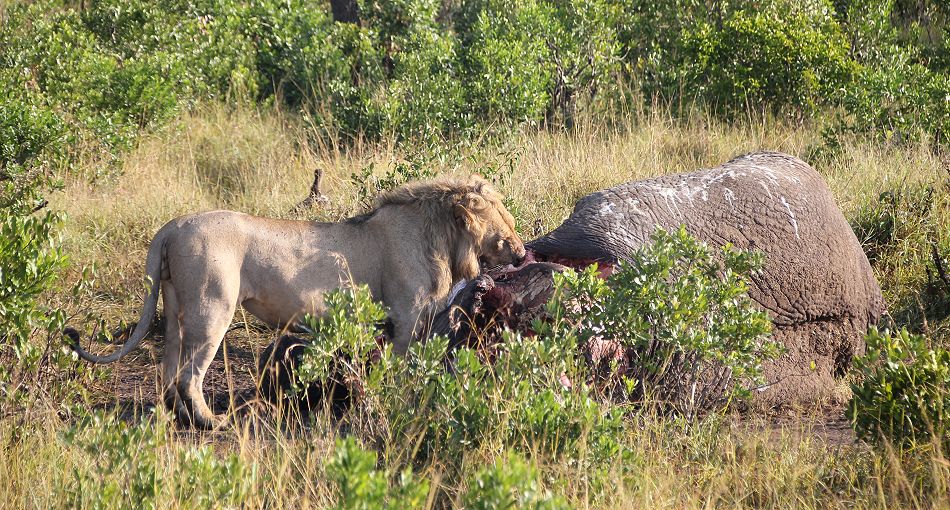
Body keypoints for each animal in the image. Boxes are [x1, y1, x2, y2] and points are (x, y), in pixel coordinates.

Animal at [70, 175, 524, 426]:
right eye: (504, 219)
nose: (522, 253)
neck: (442, 238)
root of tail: (173, 226)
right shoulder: (407, 316)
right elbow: (401, 367)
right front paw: (396, 400)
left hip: (173, 305)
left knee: (168, 367)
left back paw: (177, 417)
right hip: (211, 306)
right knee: (188, 374)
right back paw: (210, 422)